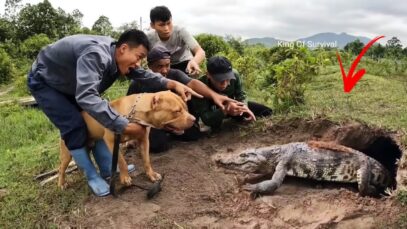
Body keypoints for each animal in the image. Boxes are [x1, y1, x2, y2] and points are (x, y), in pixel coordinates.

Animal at [58, 90, 196, 189]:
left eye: (185, 108)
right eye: (177, 111)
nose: (194, 119)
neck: (135, 112)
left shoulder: (144, 140)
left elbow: (146, 160)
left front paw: (151, 175)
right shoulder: (112, 141)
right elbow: (122, 161)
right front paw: (125, 178)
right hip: (67, 152)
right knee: (62, 168)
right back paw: (62, 184)